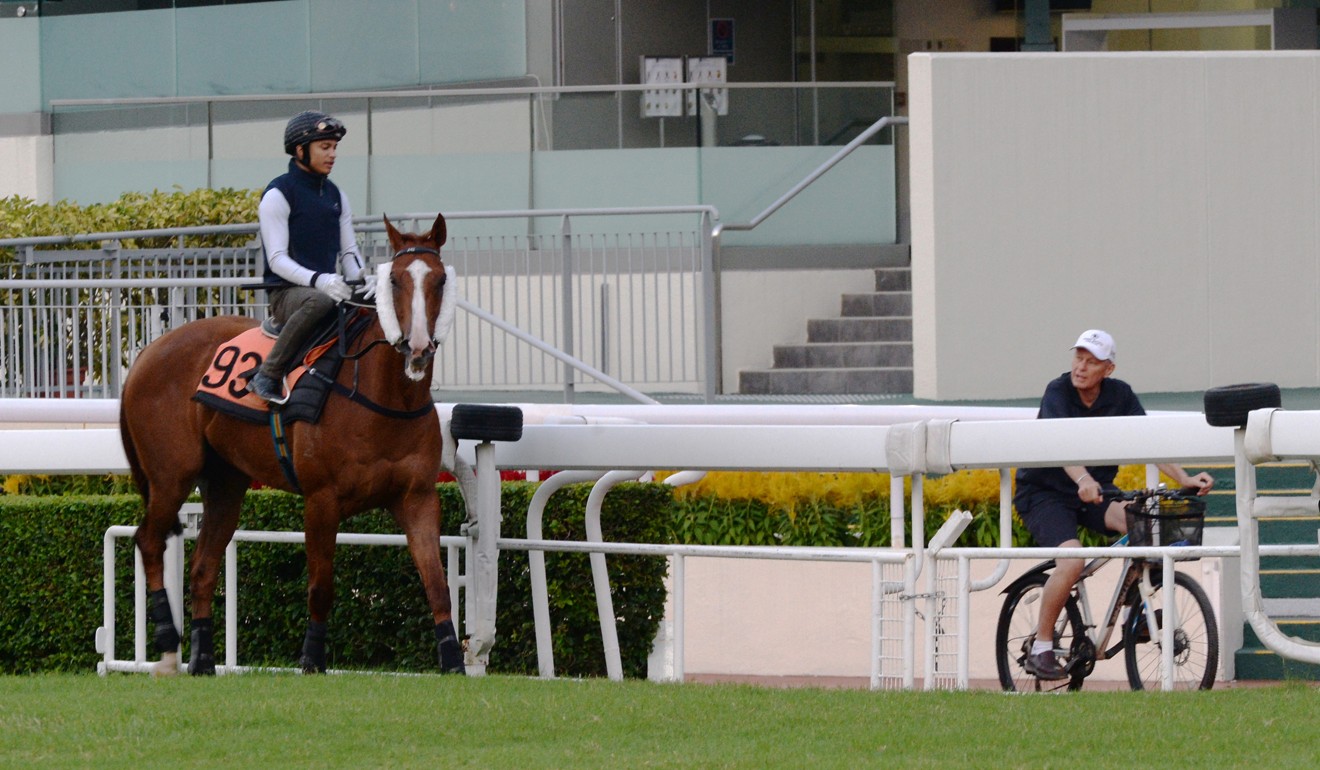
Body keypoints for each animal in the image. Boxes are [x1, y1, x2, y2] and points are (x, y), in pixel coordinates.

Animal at [118, 211, 467, 676]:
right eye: (394, 279)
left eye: (440, 279)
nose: (417, 347)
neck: (384, 398)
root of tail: (146, 353)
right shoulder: (321, 499)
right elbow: (321, 586)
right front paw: (312, 658)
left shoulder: (418, 497)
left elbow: (437, 583)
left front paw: (454, 660)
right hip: (171, 476)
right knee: (149, 541)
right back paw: (168, 647)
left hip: (225, 483)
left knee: (202, 567)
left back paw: (203, 659)